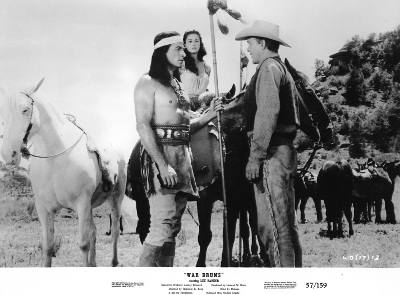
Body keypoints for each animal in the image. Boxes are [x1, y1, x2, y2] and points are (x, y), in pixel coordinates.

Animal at [0, 80, 125, 268]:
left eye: (25, 109)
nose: (9, 154)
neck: (55, 159)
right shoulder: (43, 208)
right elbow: (48, 247)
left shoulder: (81, 204)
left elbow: (83, 244)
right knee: (94, 231)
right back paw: (94, 263)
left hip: (115, 199)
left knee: (115, 231)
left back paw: (114, 261)